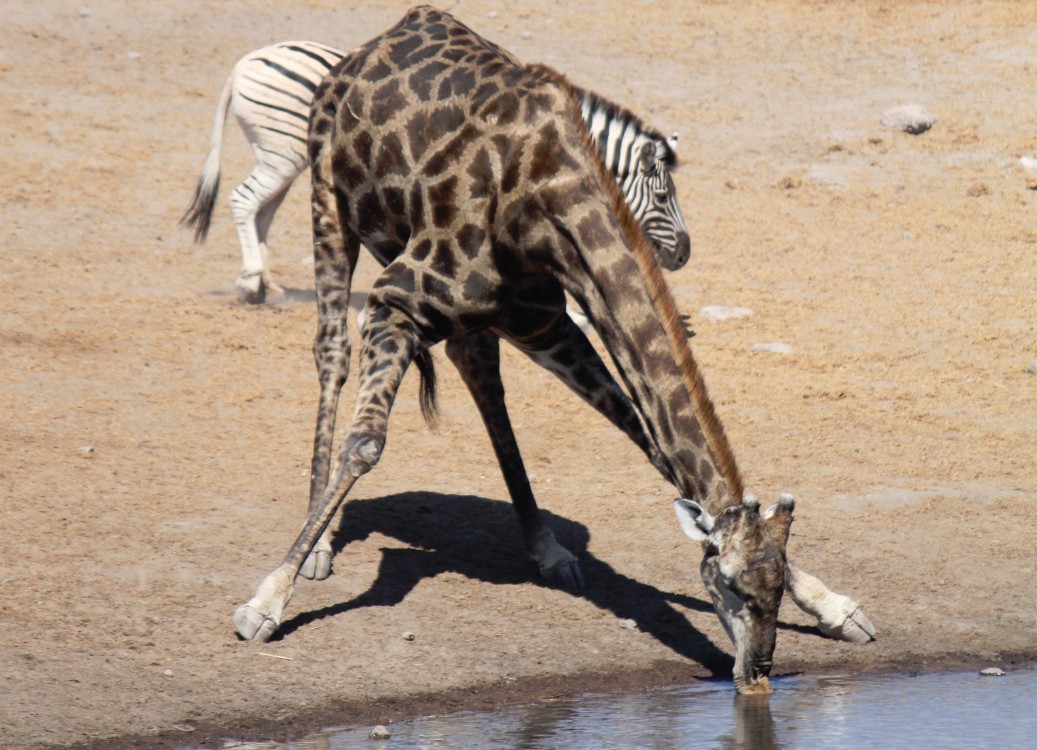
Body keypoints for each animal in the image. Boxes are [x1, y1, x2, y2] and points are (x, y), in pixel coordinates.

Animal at [182, 40, 692, 302]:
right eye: (663, 198)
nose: (686, 255)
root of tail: (241, 65)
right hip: (282, 151)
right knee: (244, 200)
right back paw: (254, 277)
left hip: (280, 155)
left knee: (261, 211)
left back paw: (262, 283)